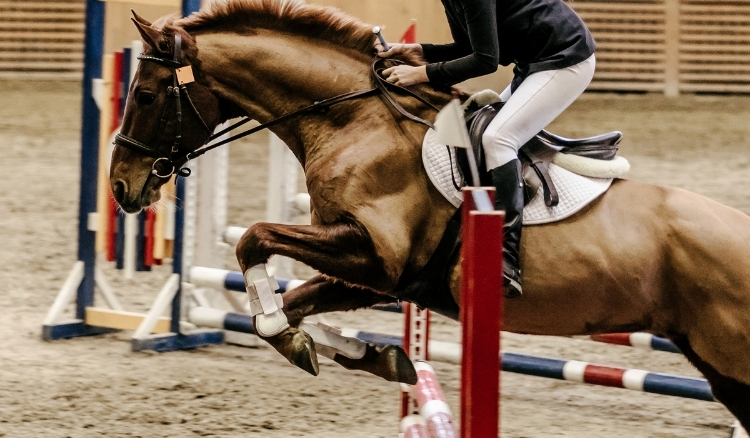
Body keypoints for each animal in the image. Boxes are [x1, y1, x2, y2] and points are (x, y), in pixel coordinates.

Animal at [108, 0, 750, 428]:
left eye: (145, 94)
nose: (120, 186)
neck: (352, 120)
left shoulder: (374, 255)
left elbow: (254, 241)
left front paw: (298, 339)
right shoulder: (385, 275)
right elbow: (293, 303)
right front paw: (373, 355)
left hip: (730, 359)